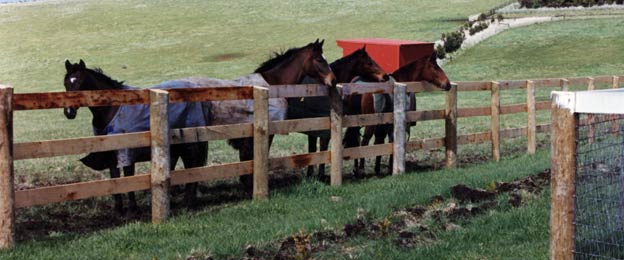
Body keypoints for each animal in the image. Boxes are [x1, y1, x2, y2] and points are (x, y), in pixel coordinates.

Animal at [286, 45, 388, 178]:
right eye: (369, 62)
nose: (385, 76)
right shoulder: (320, 130)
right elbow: (320, 148)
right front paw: (319, 175)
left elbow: (314, 149)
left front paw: (312, 174)